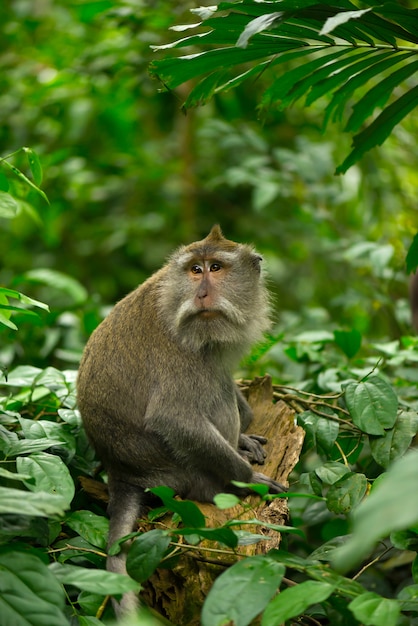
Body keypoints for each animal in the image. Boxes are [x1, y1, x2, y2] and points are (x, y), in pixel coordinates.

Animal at [76, 225, 286, 616]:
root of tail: (122, 472)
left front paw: (244, 438)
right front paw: (248, 480)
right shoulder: (179, 352)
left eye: (215, 267)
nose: (202, 293)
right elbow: (175, 419)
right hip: (187, 478)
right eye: (195, 270)